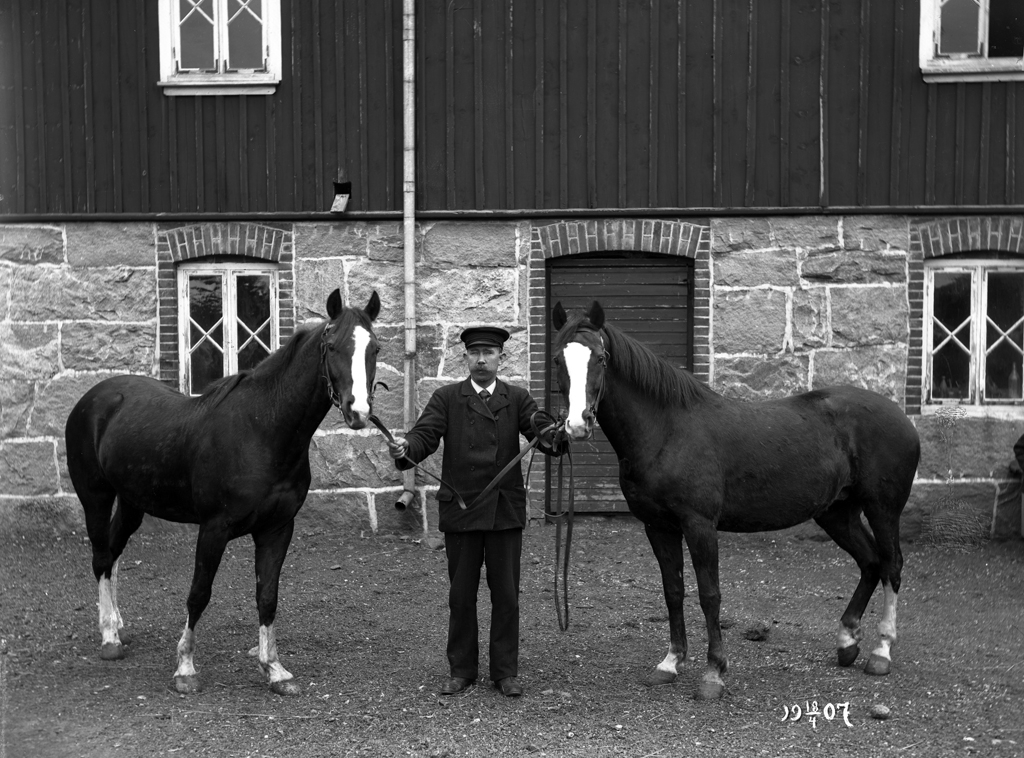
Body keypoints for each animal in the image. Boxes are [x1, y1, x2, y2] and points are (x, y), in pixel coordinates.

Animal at [64, 289, 381, 696]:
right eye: (331, 345)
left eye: (375, 348)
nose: (358, 411)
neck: (261, 431)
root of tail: (93, 399)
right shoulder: (213, 528)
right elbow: (199, 593)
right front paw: (185, 669)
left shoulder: (277, 529)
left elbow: (267, 596)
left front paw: (274, 670)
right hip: (96, 498)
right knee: (101, 556)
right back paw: (109, 639)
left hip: (133, 502)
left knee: (114, 552)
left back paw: (117, 625)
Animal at [550, 301, 920, 700]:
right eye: (558, 358)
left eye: (601, 358)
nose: (577, 424)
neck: (667, 431)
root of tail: (903, 418)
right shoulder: (658, 526)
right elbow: (673, 591)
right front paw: (670, 663)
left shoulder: (699, 525)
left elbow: (709, 594)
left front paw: (714, 673)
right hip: (837, 513)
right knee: (870, 562)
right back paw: (847, 642)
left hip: (883, 509)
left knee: (891, 566)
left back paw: (881, 652)